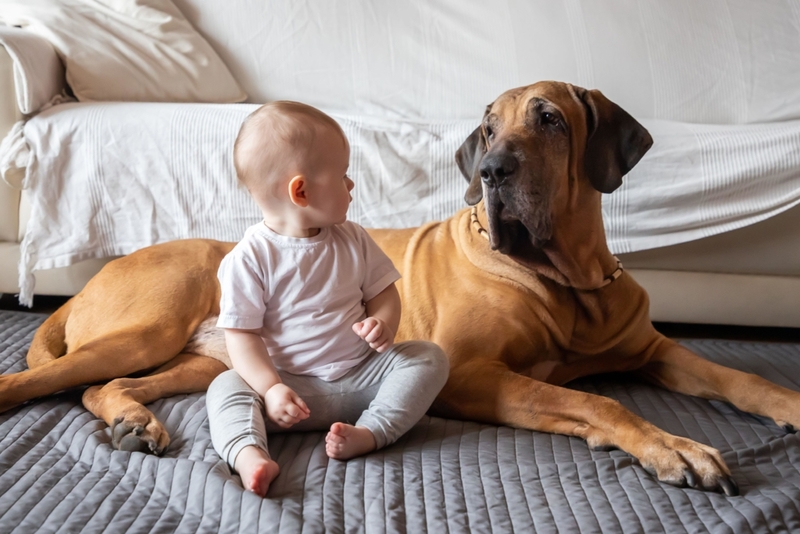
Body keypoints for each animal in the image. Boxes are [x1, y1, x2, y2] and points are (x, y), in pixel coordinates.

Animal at [1, 80, 800, 498]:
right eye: (487, 130)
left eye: (549, 119)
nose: (492, 171)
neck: (566, 279)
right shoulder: (475, 373)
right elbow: (593, 400)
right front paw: (674, 448)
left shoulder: (653, 351)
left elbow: (735, 376)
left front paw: (786, 403)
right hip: (149, 325)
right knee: (49, 379)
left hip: (202, 362)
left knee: (107, 386)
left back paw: (134, 420)